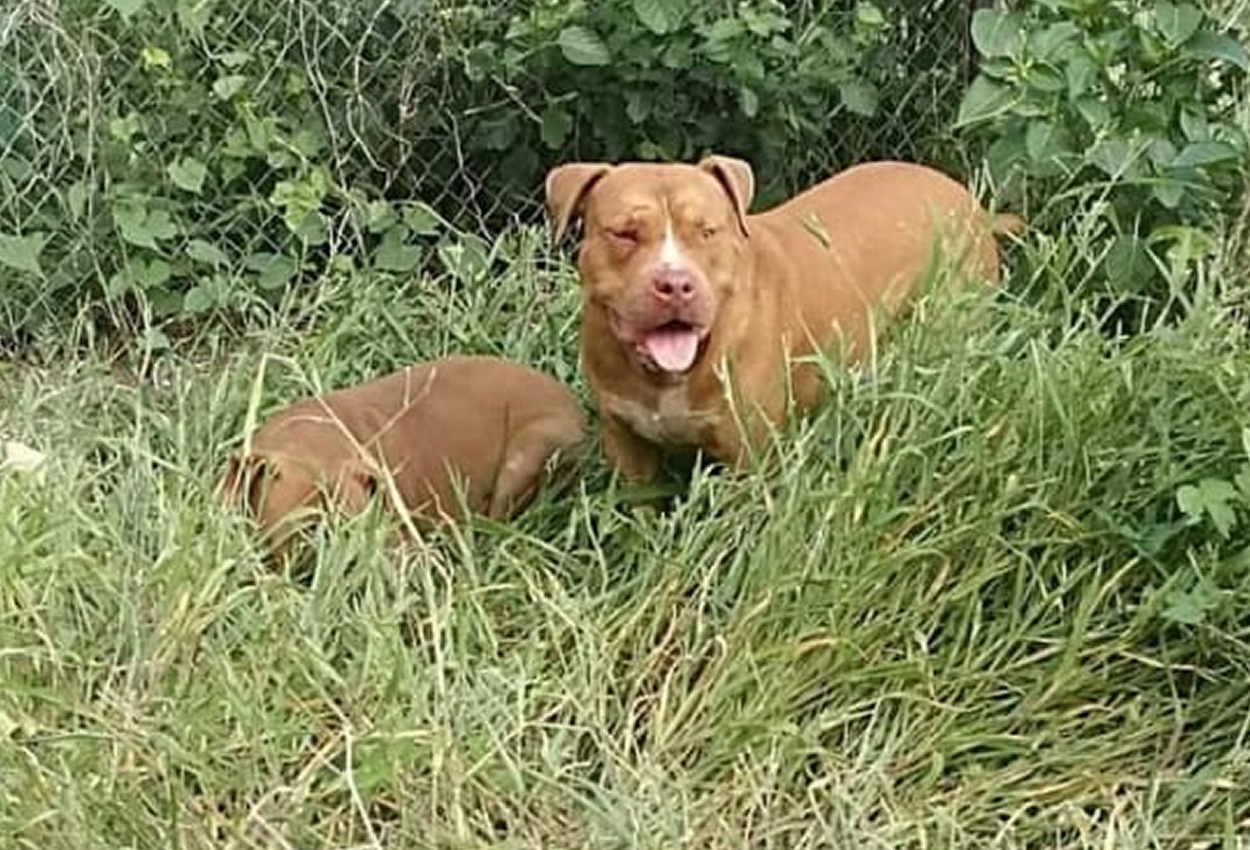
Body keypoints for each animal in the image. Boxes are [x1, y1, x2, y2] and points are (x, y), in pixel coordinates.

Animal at [545, 156, 1023, 482]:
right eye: (624, 233)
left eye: (708, 231)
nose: (676, 283)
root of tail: (973, 203)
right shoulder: (625, 439)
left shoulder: (750, 454)